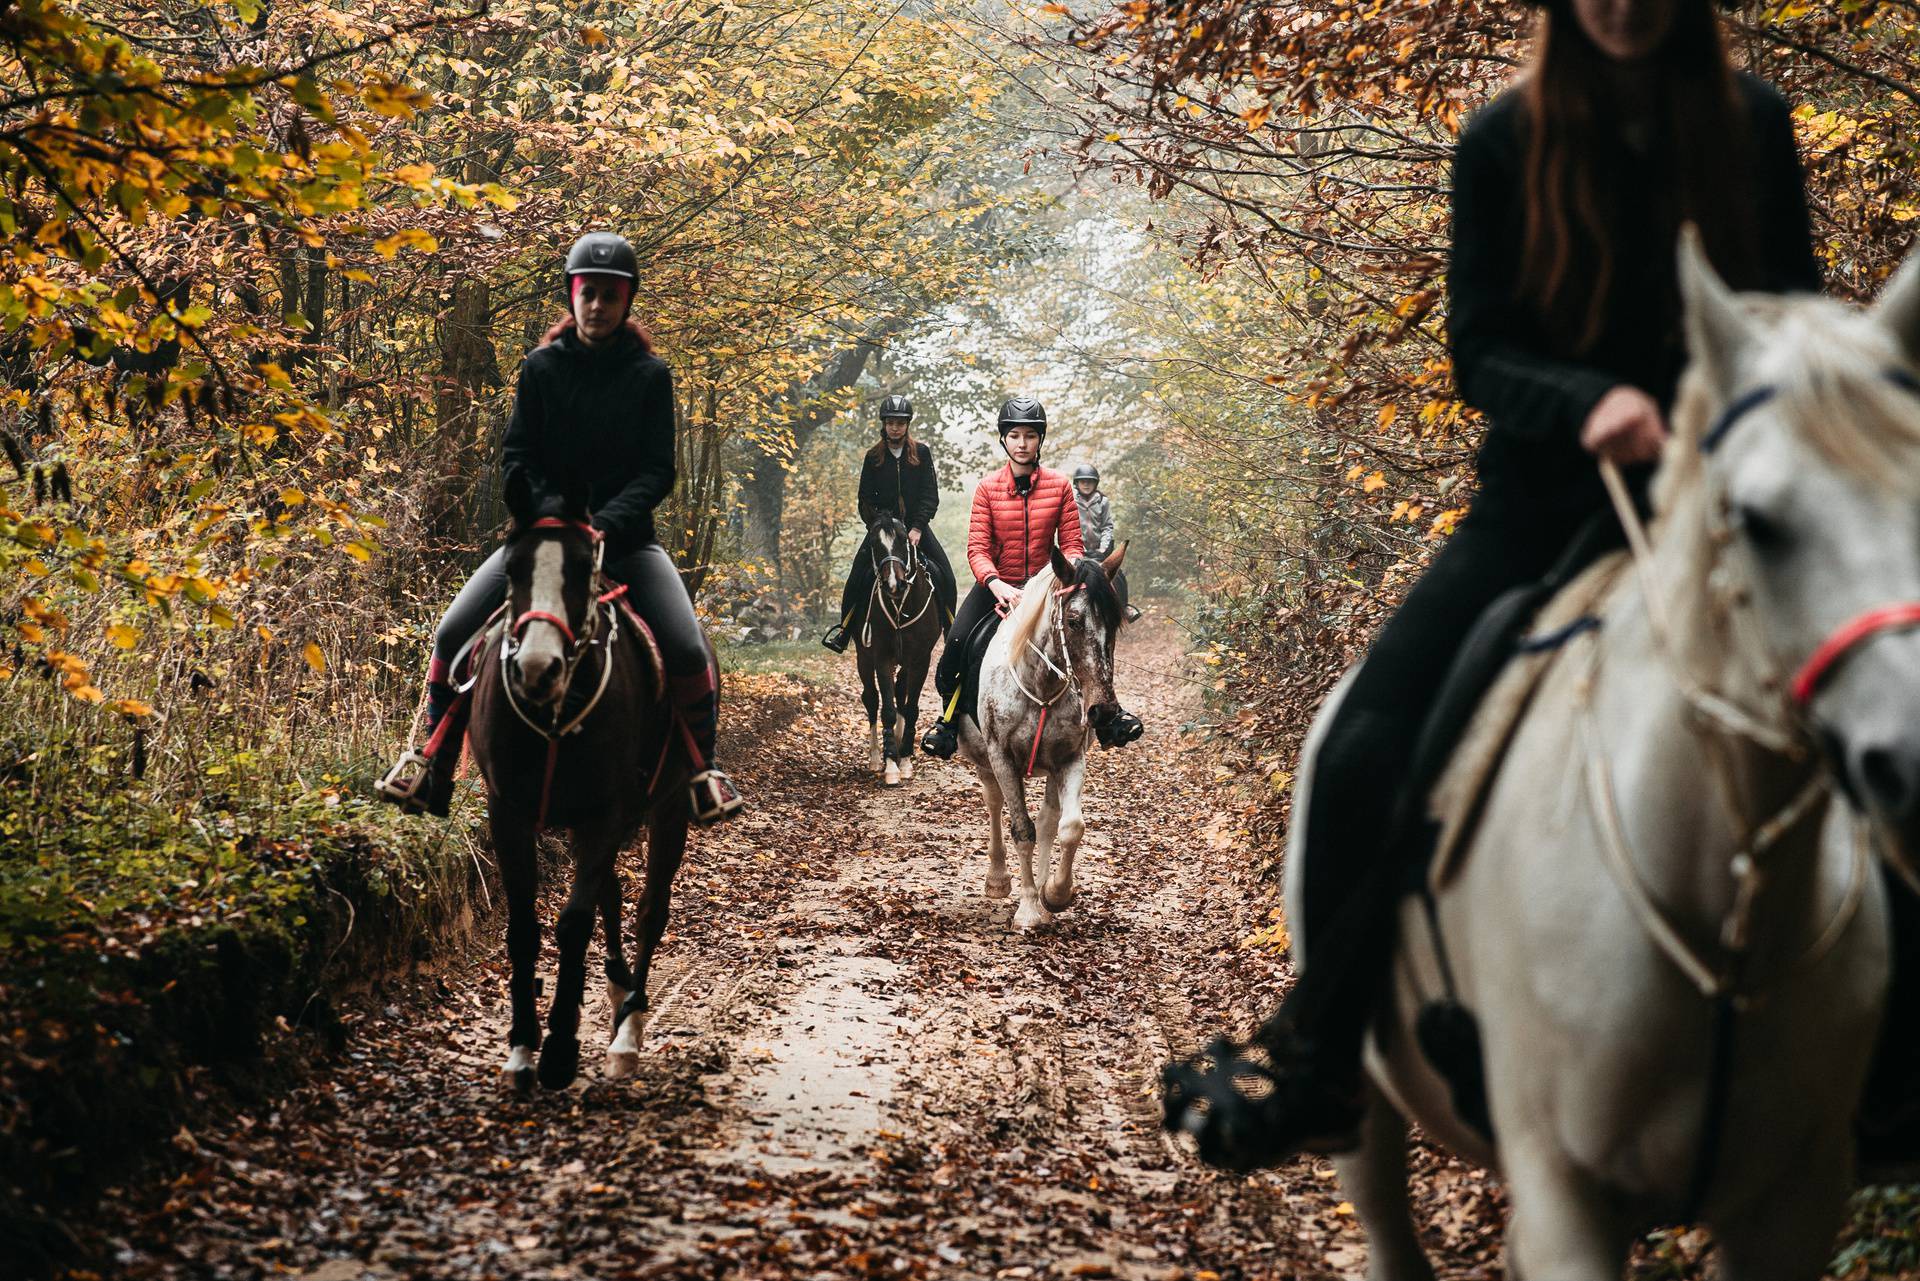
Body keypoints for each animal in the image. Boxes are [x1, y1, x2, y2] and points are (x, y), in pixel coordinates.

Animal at [464, 480, 698, 1090]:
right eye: (513, 567)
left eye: (582, 570)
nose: (536, 669)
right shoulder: (509, 812)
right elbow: (524, 926)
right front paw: (522, 1047)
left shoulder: (604, 814)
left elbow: (573, 924)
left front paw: (560, 1049)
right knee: (612, 895)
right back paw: (616, 993)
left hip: (667, 809)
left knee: (649, 910)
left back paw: (627, 1035)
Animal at [856, 514, 944, 787]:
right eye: (873, 543)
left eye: (904, 539)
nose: (894, 584)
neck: (899, 607)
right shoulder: (881, 658)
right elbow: (887, 710)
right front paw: (891, 765)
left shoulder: (920, 660)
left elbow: (911, 707)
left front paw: (904, 759)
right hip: (864, 659)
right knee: (872, 699)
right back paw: (876, 758)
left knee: (901, 693)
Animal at [960, 545, 1121, 933]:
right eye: (1074, 621)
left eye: (1115, 624)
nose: (1103, 712)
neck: (1041, 688)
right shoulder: (1002, 758)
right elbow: (1022, 830)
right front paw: (1029, 909)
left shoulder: (1070, 758)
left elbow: (1070, 827)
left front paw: (1055, 894)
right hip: (983, 758)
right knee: (993, 803)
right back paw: (998, 880)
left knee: (1050, 820)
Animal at [1282, 233, 1920, 1281]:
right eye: (1755, 519)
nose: (1908, 758)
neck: (1726, 916)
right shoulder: (1563, 1194)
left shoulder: (1794, 1200)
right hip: (1363, 1104)